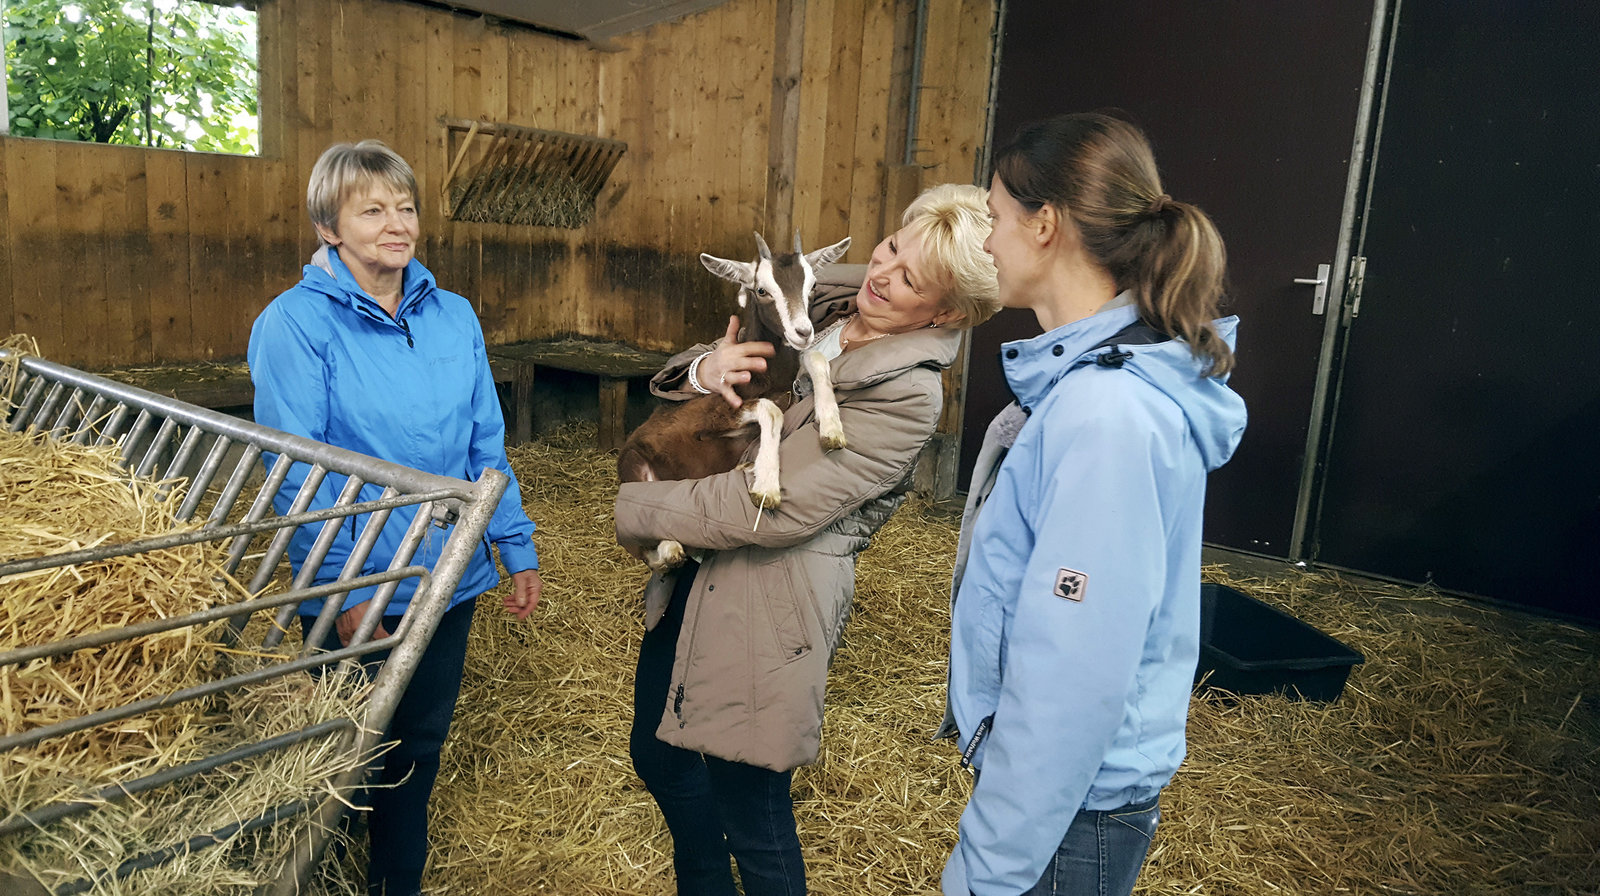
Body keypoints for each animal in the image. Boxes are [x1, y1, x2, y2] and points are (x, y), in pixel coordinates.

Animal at [616, 232, 852, 572]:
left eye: (812, 285)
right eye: (762, 290)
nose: (802, 332)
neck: (766, 380)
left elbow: (815, 358)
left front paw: (832, 428)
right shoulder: (709, 417)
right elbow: (771, 409)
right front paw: (766, 487)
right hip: (634, 468)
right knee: (654, 552)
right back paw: (672, 547)